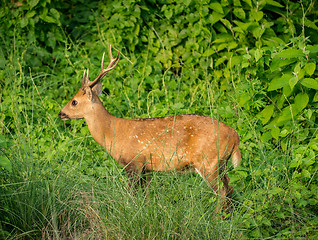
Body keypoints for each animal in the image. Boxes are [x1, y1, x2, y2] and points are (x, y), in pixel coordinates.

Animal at [58, 46, 241, 211]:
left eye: (74, 101)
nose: (61, 113)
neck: (112, 133)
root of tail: (235, 135)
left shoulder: (134, 162)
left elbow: (132, 195)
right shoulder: (147, 167)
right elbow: (145, 195)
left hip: (208, 161)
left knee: (222, 191)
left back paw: (216, 217)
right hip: (220, 163)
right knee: (229, 187)